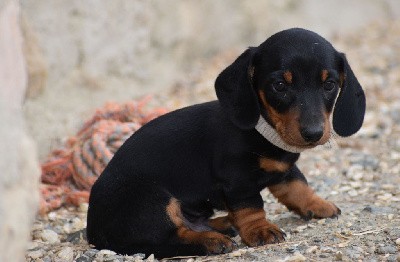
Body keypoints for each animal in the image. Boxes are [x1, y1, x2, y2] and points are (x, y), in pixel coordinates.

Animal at [87, 28, 366, 258]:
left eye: (329, 84)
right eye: (279, 85)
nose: (313, 133)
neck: (263, 129)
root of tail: (92, 230)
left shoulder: (283, 168)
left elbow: (297, 185)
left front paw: (317, 204)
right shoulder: (237, 178)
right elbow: (251, 206)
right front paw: (260, 230)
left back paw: (221, 224)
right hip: (152, 201)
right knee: (166, 239)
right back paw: (210, 240)